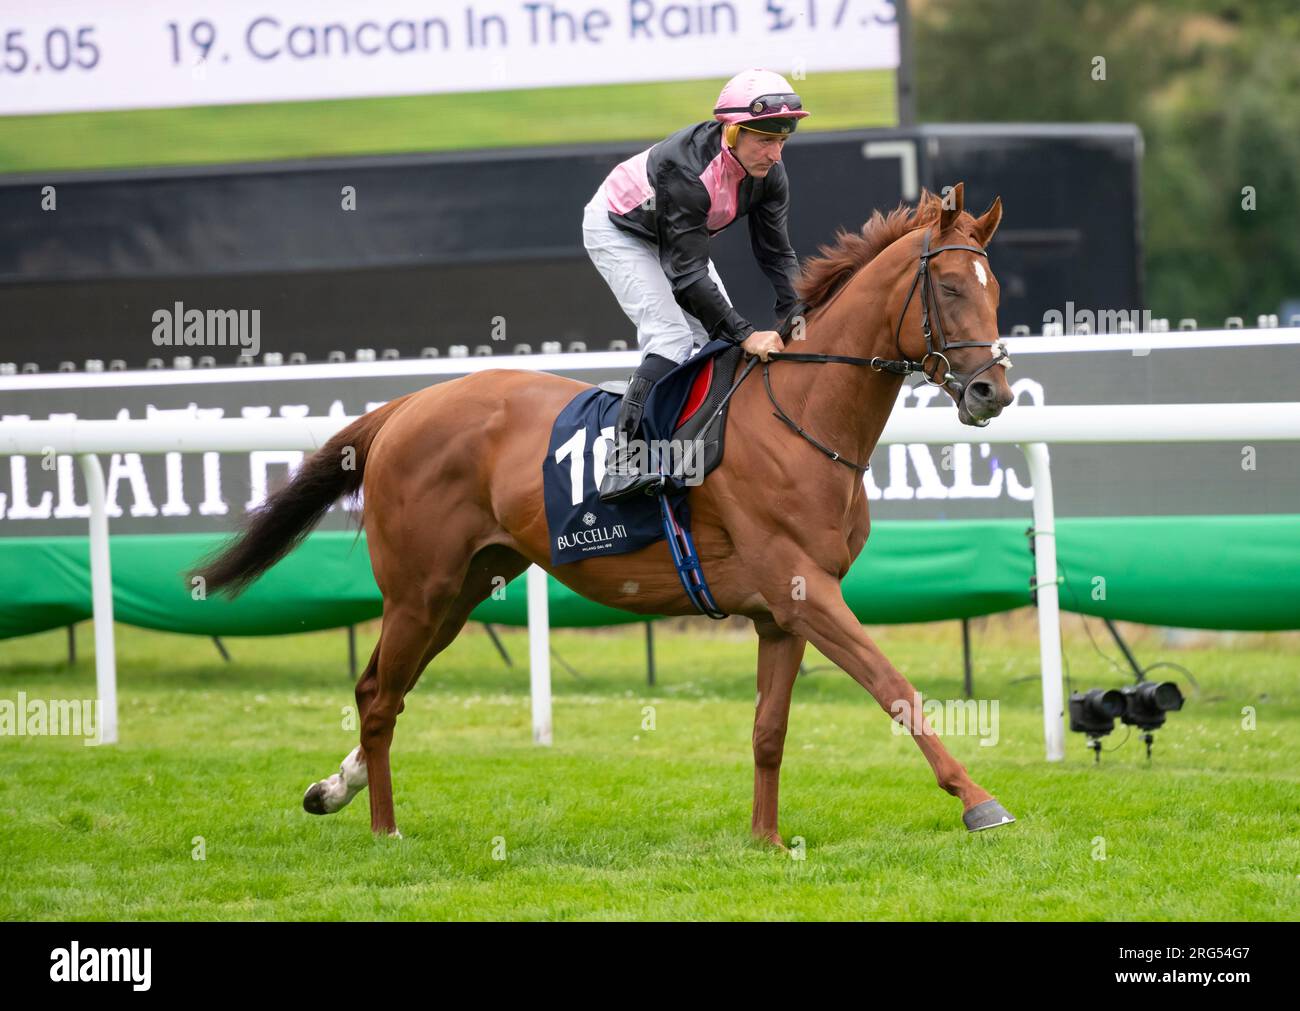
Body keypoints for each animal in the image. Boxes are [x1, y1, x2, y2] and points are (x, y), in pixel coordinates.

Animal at [197, 183, 1019, 842]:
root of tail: (405, 405)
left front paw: (764, 839)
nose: (993, 392)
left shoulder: (780, 612)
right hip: (418, 588)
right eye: (949, 287)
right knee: (376, 697)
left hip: (462, 588)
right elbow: (895, 687)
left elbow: (770, 730)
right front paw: (978, 800)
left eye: (994, 289)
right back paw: (385, 829)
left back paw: (333, 789)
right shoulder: (805, 589)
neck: (803, 414)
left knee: (385, 690)